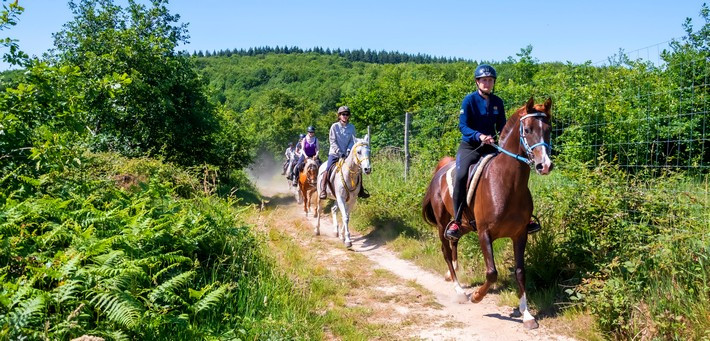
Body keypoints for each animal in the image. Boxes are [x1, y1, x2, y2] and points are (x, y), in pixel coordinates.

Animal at [422, 97, 556, 328]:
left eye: (548, 130)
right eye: (528, 129)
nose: (544, 165)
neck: (508, 184)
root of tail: (441, 169)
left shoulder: (520, 234)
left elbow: (520, 272)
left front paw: (527, 315)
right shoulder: (485, 233)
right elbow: (492, 272)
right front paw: (477, 296)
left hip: (464, 225)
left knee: (454, 242)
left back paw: (451, 275)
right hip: (441, 224)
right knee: (446, 251)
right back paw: (459, 291)